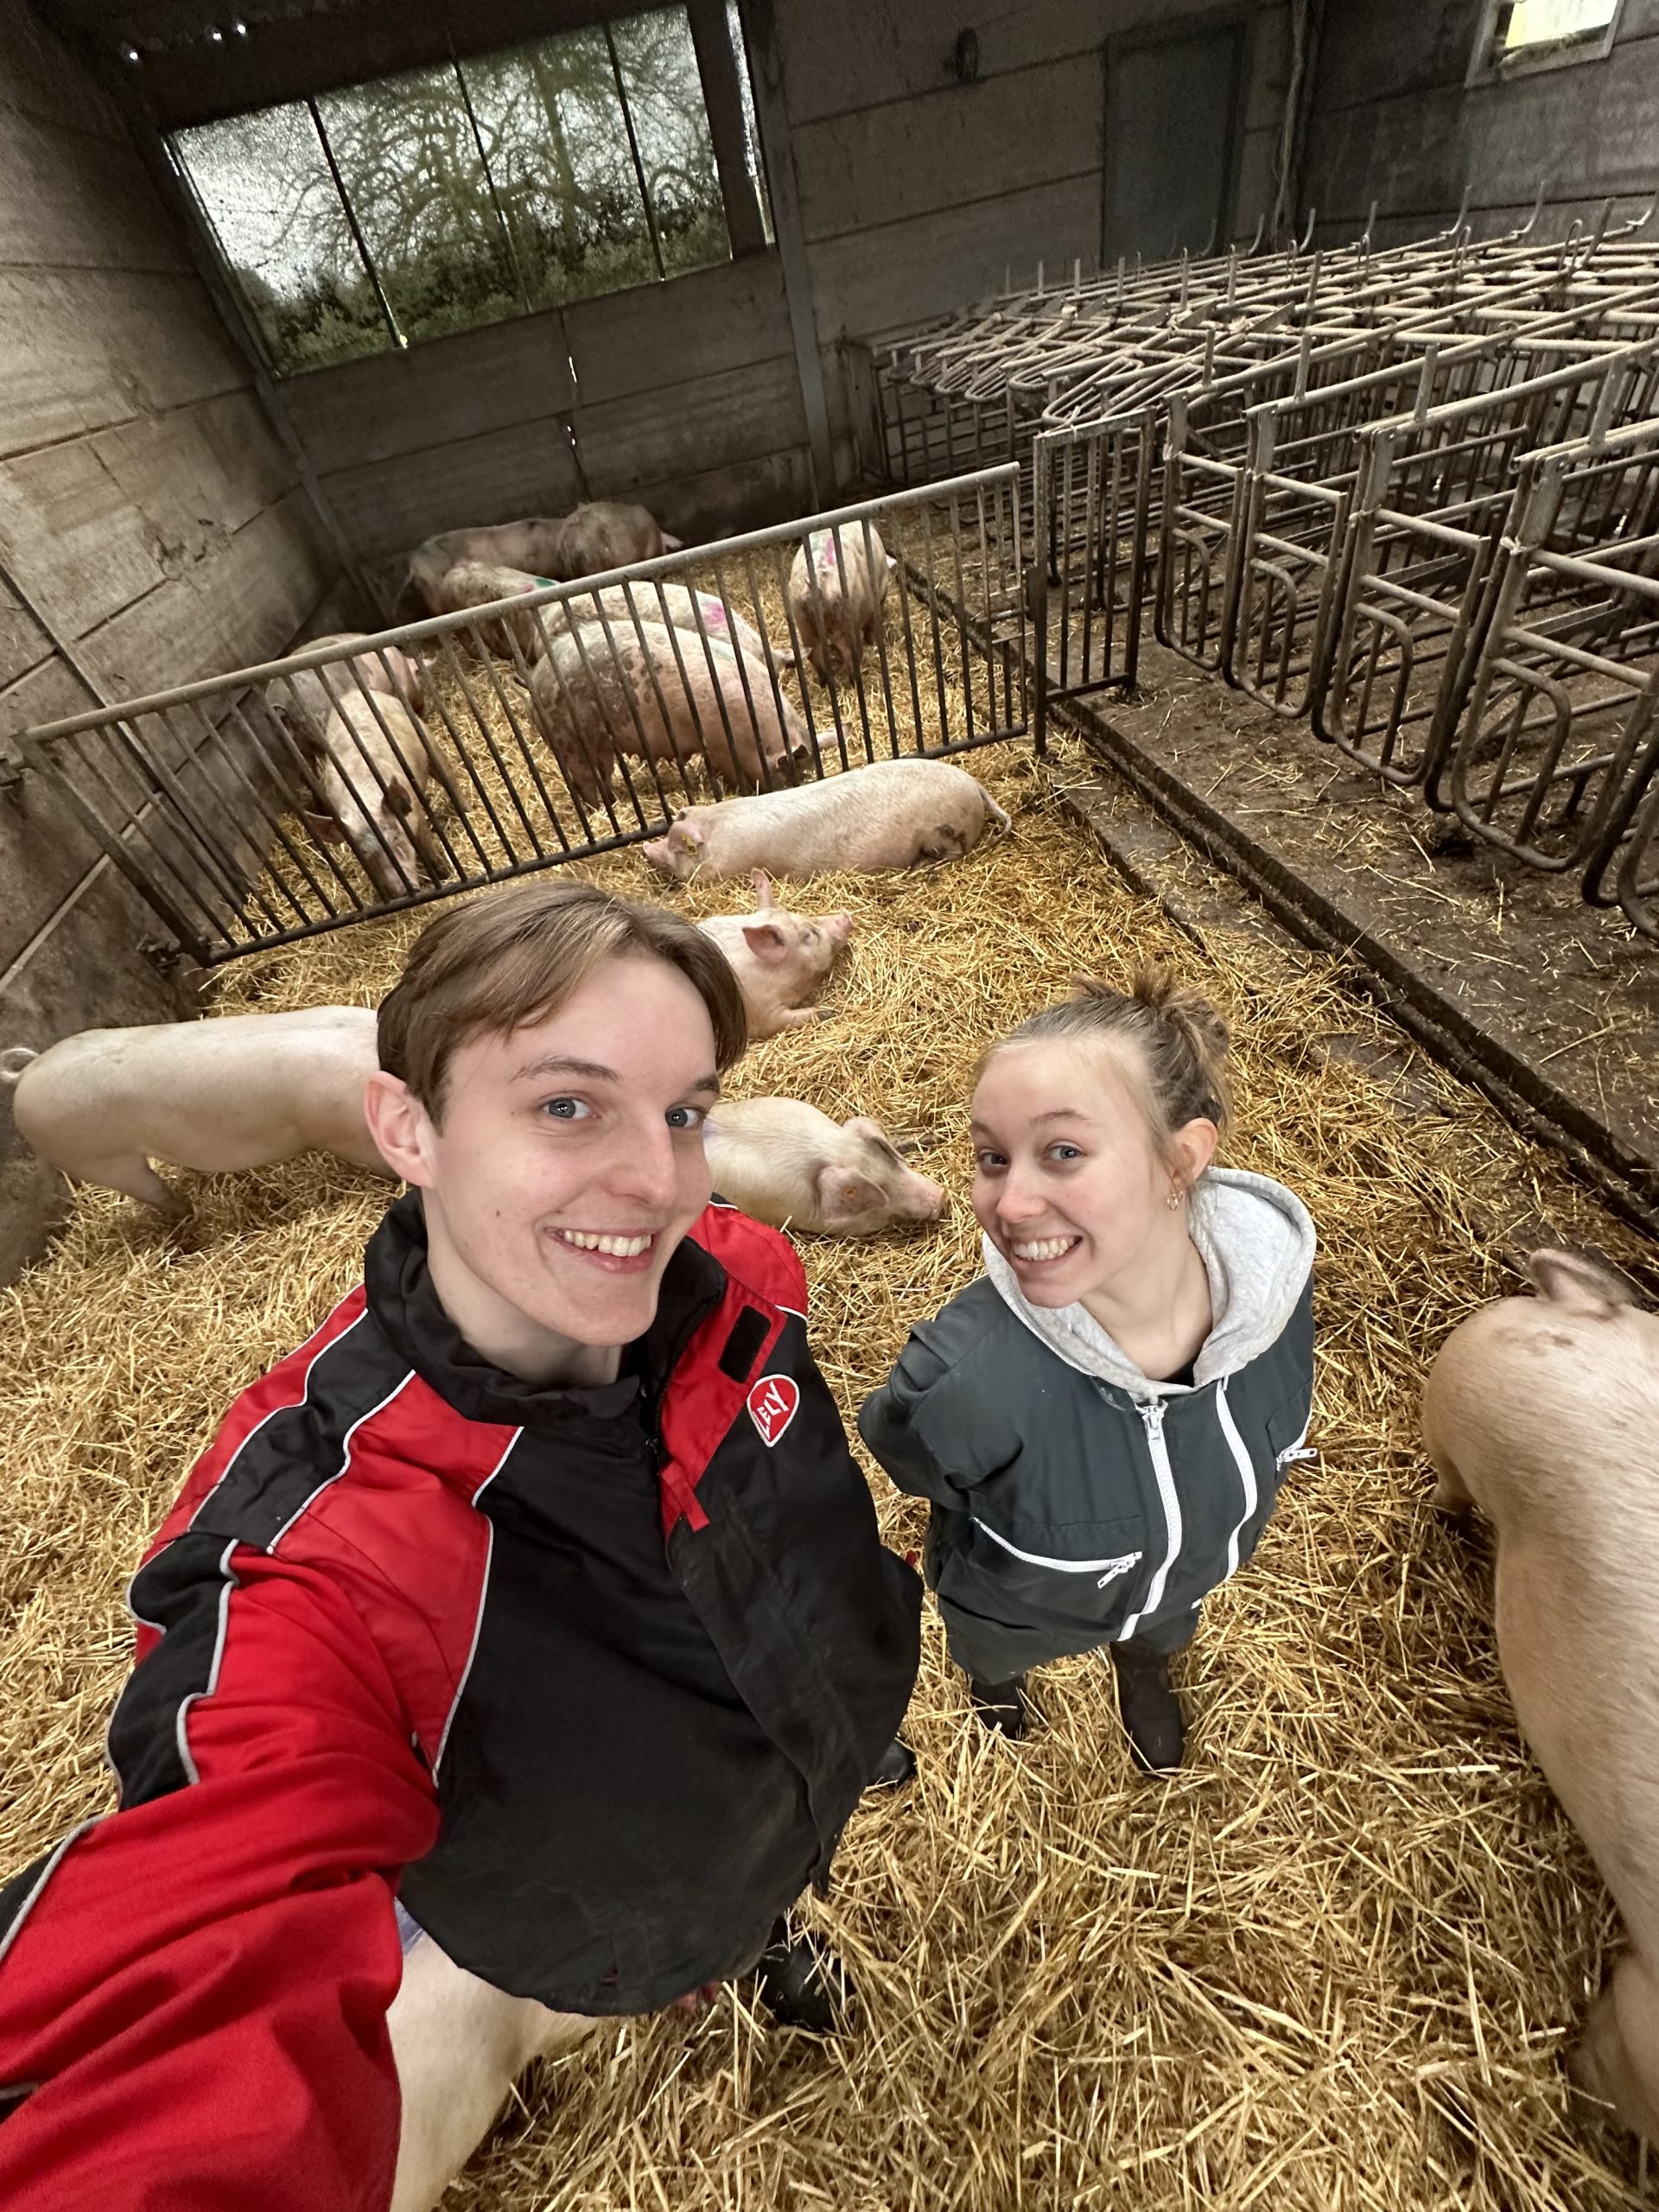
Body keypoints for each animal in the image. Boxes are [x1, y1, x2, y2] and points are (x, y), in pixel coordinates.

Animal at [302, 690, 437, 898]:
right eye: (366, 853)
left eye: (396, 837)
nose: (405, 889)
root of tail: (354, 693)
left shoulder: (416, 811)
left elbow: (428, 848)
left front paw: (445, 874)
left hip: (427, 738)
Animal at [532, 619, 814, 809]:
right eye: (789, 770)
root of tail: (534, 690)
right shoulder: (720, 746)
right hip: (570, 741)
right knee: (585, 781)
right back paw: (601, 808)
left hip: (599, 746)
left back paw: (611, 802)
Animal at [787, 524, 898, 685]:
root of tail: (818, 585)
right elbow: (871, 626)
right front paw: (871, 642)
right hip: (847, 623)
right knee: (851, 654)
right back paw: (854, 681)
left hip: (803, 624)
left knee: (814, 655)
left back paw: (825, 683)